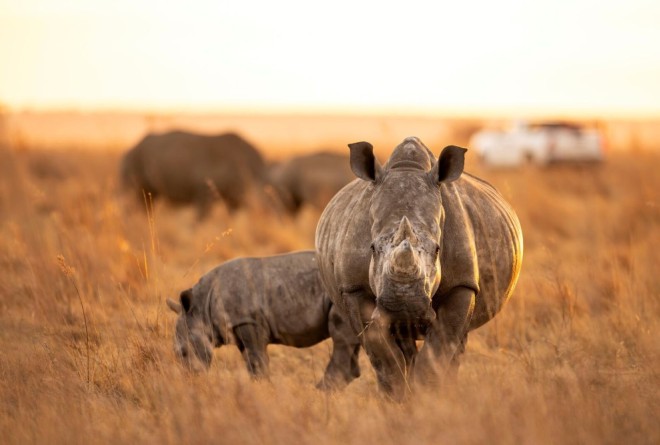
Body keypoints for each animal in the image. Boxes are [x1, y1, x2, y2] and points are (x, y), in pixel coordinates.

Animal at [120, 130, 268, 219]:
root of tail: (132, 146)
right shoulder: (204, 194)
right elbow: (198, 222)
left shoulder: (233, 199)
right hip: (132, 162)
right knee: (130, 200)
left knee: (146, 203)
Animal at [166, 250, 361, 390]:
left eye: (183, 352)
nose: (191, 379)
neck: (202, 307)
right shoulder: (241, 327)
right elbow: (251, 361)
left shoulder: (249, 321)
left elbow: (257, 360)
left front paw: (263, 388)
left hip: (343, 296)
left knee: (341, 337)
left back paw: (319, 392)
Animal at [315, 137, 523, 400]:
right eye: (372, 248)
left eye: (437, 250)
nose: (404, 306)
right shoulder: (353, 288)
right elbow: (383, 357)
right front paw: (397, 401)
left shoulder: (462, 285)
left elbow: (439, 351)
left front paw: (428, 399)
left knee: (457, 342)